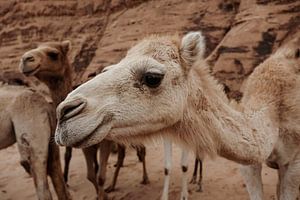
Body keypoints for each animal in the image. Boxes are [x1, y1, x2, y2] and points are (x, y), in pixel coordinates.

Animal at [18, 41, 149, 200]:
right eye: (36, 47)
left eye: (53, 54)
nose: (26, 59)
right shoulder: (86, 145)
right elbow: (90, 175)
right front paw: (101, 194)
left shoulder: (104, 141)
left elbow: (100, 176)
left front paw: (103, 194)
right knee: (122, 154)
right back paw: (112, 185)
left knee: (140, 149)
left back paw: (144, 178)